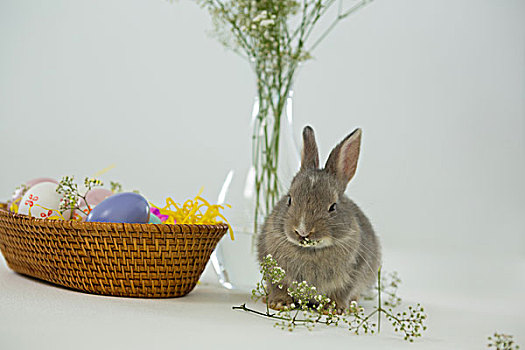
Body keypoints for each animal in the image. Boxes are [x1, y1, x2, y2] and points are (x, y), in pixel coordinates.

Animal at [256, 125, 378, 312]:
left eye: (333, 207)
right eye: (289, 199)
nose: (302, 231)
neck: (310, 250)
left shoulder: (352, 275)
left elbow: (341, 293)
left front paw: (334, 309)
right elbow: (278, 287)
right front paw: (280, 303)